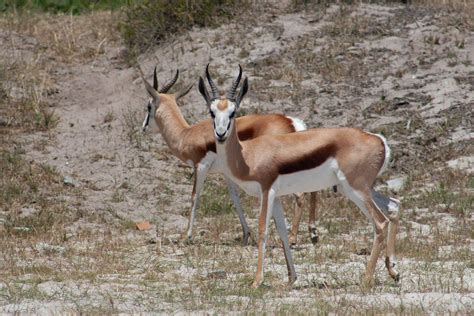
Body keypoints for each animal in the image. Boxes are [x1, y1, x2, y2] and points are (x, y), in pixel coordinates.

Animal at [139, 66, 320, 247]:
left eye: (148, 106)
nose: (143, 127)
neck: (187, 134)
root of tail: (291, 122)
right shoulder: (227, 173)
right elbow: (235, 197)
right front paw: (246, 235)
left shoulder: (201, 167)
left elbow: (195, 196)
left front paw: (187, 236)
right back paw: (313, 233)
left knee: (300, 194)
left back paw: (293, 238)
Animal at [198, 65, 402, 288]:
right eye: (212, 112)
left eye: (233, 112)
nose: (220, 134)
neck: (248, 155)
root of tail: (379, 140)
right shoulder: (277, 196)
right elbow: (282, 232)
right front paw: (291, 278)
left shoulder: (266, 191)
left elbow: (263, 230)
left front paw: (257, 281)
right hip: (359, 188)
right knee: (394, 206)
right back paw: (393, 271)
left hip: (355, 189)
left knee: (380, 223)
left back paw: (366, 279)